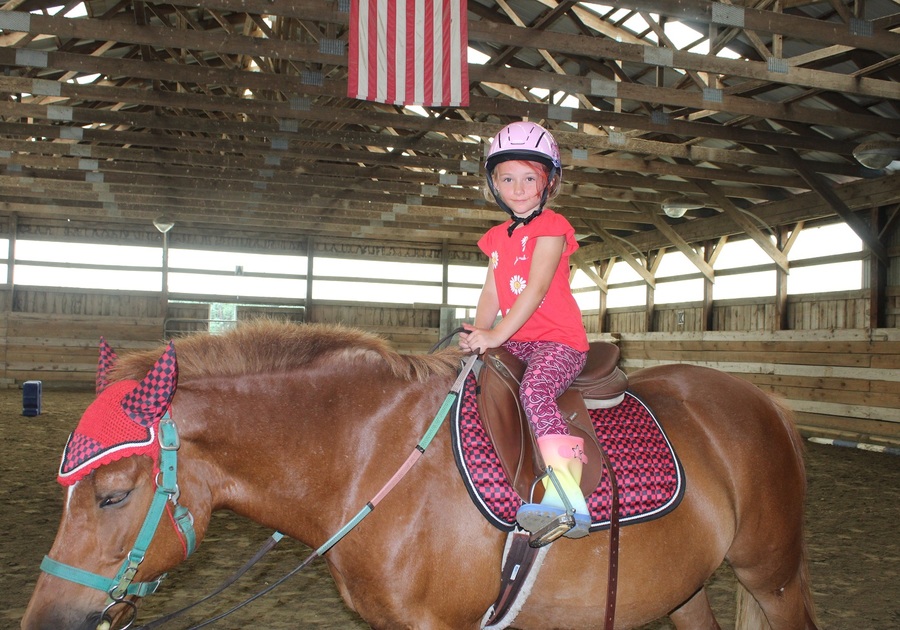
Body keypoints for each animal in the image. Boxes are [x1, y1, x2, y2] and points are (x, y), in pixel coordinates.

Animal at [22, 324, 824, 628]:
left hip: (773, 576)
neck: (367, 458)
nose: (44, 620)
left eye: (112, 494)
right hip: (685, 585)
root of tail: (768, 404)